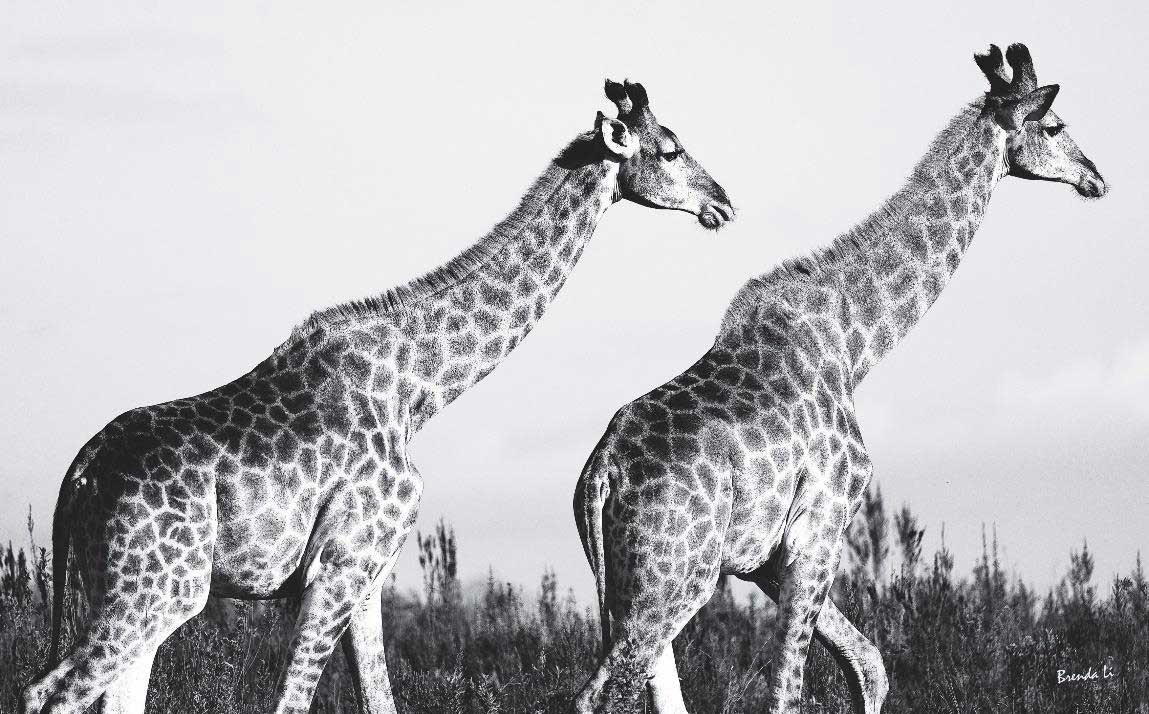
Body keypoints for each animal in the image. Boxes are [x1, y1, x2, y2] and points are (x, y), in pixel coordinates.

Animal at [19, 79, 735, 714]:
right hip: (158, 589)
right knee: (48, 691)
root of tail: (79, 475)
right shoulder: (340, 563)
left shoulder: (367, 574)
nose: (723, 202)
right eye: (670, 149)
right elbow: (292, 701)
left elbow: (379, 695)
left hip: (124, 587)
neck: (415, 393)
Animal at [573, 44, 1106, 714]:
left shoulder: (767, 558)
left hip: (633, 583)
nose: (1097, 177)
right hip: (676, 577)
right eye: (1056, 127)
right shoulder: (819, 528)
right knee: (602, 690)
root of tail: (598, 475)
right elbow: (788, 691)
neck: (854, 346)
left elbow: (869, 664)